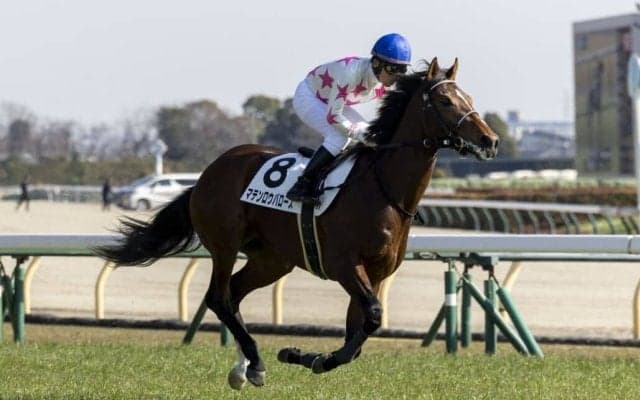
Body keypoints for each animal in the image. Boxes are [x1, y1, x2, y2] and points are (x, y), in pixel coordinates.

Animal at [95, 57, 499, 390]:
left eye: (468, 97)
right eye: (445, 101)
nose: (490, 140)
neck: (383, 188)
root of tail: (210, 171)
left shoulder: (376, 272)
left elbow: (359, 333)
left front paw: (307, 357)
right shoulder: (344, 264)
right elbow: (371, 317)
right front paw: (303, 356)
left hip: (272, 259)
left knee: (235, 295)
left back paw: (243, 368)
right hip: (225, 245)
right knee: (219, 297)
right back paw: (255, 362)